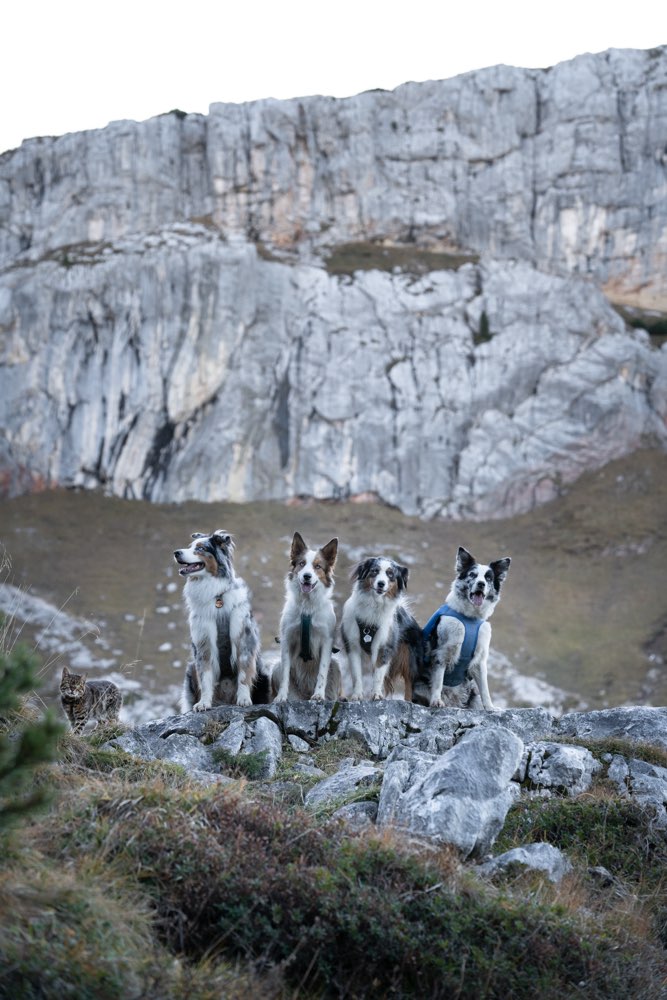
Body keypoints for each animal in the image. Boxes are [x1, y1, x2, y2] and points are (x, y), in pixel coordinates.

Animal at [172, 532, 272, 712]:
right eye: (190, 546)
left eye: (201, 549)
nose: (176, 553)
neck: (217, 598)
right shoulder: (203, 643)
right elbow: (205, 677)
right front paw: (204, 703)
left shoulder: (243, 638)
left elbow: (244, 673)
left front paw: (244, 699)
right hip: (190, 669)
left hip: (262, 671)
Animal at [270, 532, 340, 704]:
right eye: (302, 564)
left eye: (318, 566)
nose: (307, 576)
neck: (307, 606)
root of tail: (304, 695)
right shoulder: (287, 639)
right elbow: (285, 675)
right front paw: (281, 697)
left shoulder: (327, 641)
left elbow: (322, 672)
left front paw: (319, 695)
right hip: (276, 667)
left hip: (336, 664)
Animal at [342, 556, 426, 704]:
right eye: (375, 571)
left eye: (390, 574)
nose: (381, 584)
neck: (374, 605)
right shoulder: (352, 644)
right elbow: (357, 674)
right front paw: (357, 695)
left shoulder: (385, 646)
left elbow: (378, 674)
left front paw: (376, 695)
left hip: (410, 657)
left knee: (409, 683)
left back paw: (408, 702)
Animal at [414, 548, 516, 712]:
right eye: (472, 575)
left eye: (488, 578)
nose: (480, 584)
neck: (469, 617)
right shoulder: (442, 651)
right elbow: (438, 681)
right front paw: (436, 701)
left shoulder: (480, 658)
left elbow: (485, 689)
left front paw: (490, 707)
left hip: (472, 693)